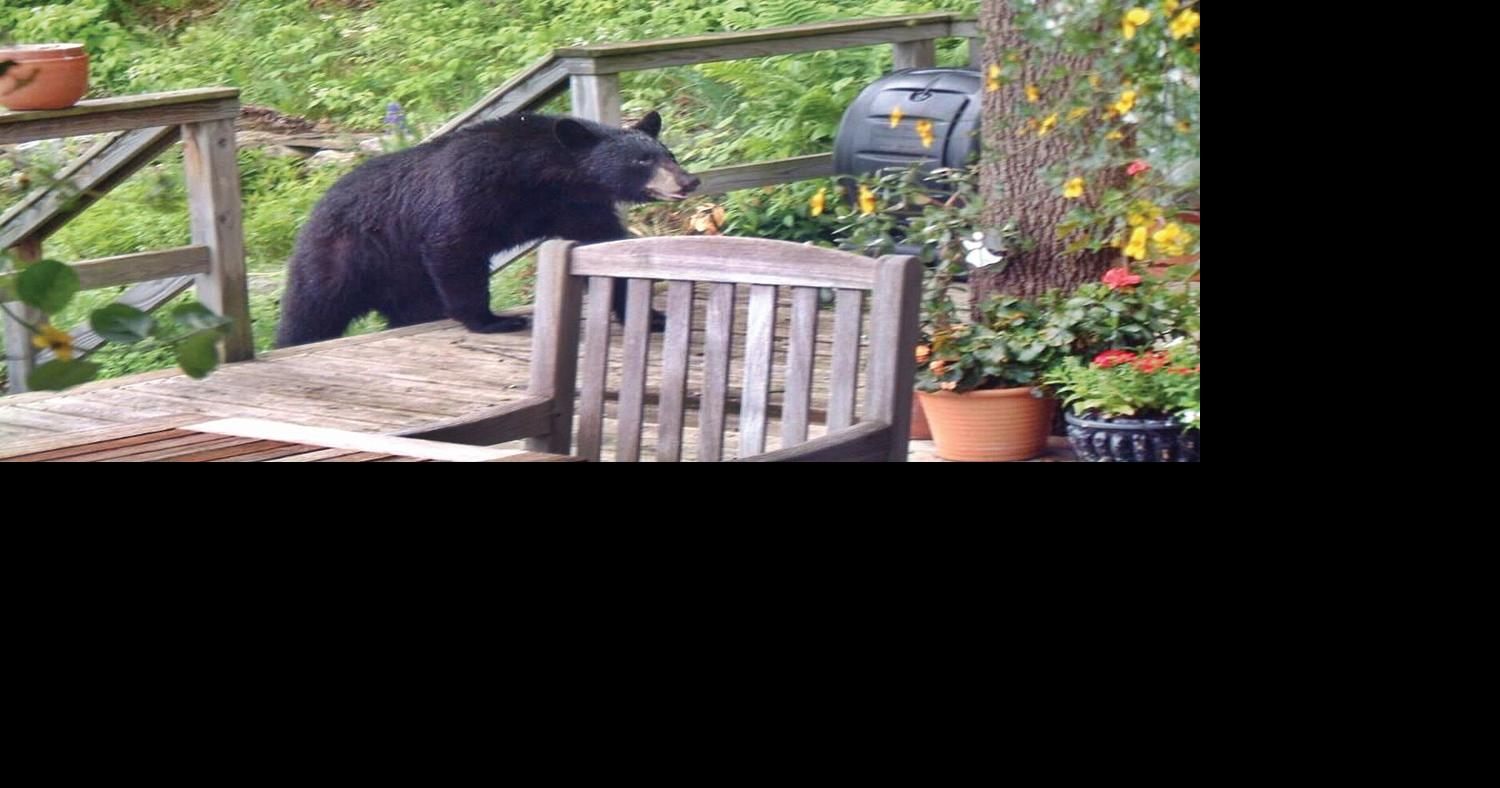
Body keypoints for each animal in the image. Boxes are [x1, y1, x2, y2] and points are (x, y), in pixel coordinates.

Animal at [274, 110, 699, 347]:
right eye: (642, 160)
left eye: (669, 154)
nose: (688, 181)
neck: (543, 175)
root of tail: (312, 214)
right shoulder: (471, 187)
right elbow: (454, 247)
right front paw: (493, 320)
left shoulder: (577, 206)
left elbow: (605, 244)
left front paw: (652, 316)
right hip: (343, 256)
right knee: (311, 310)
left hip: (402, 281)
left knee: (413, 309)